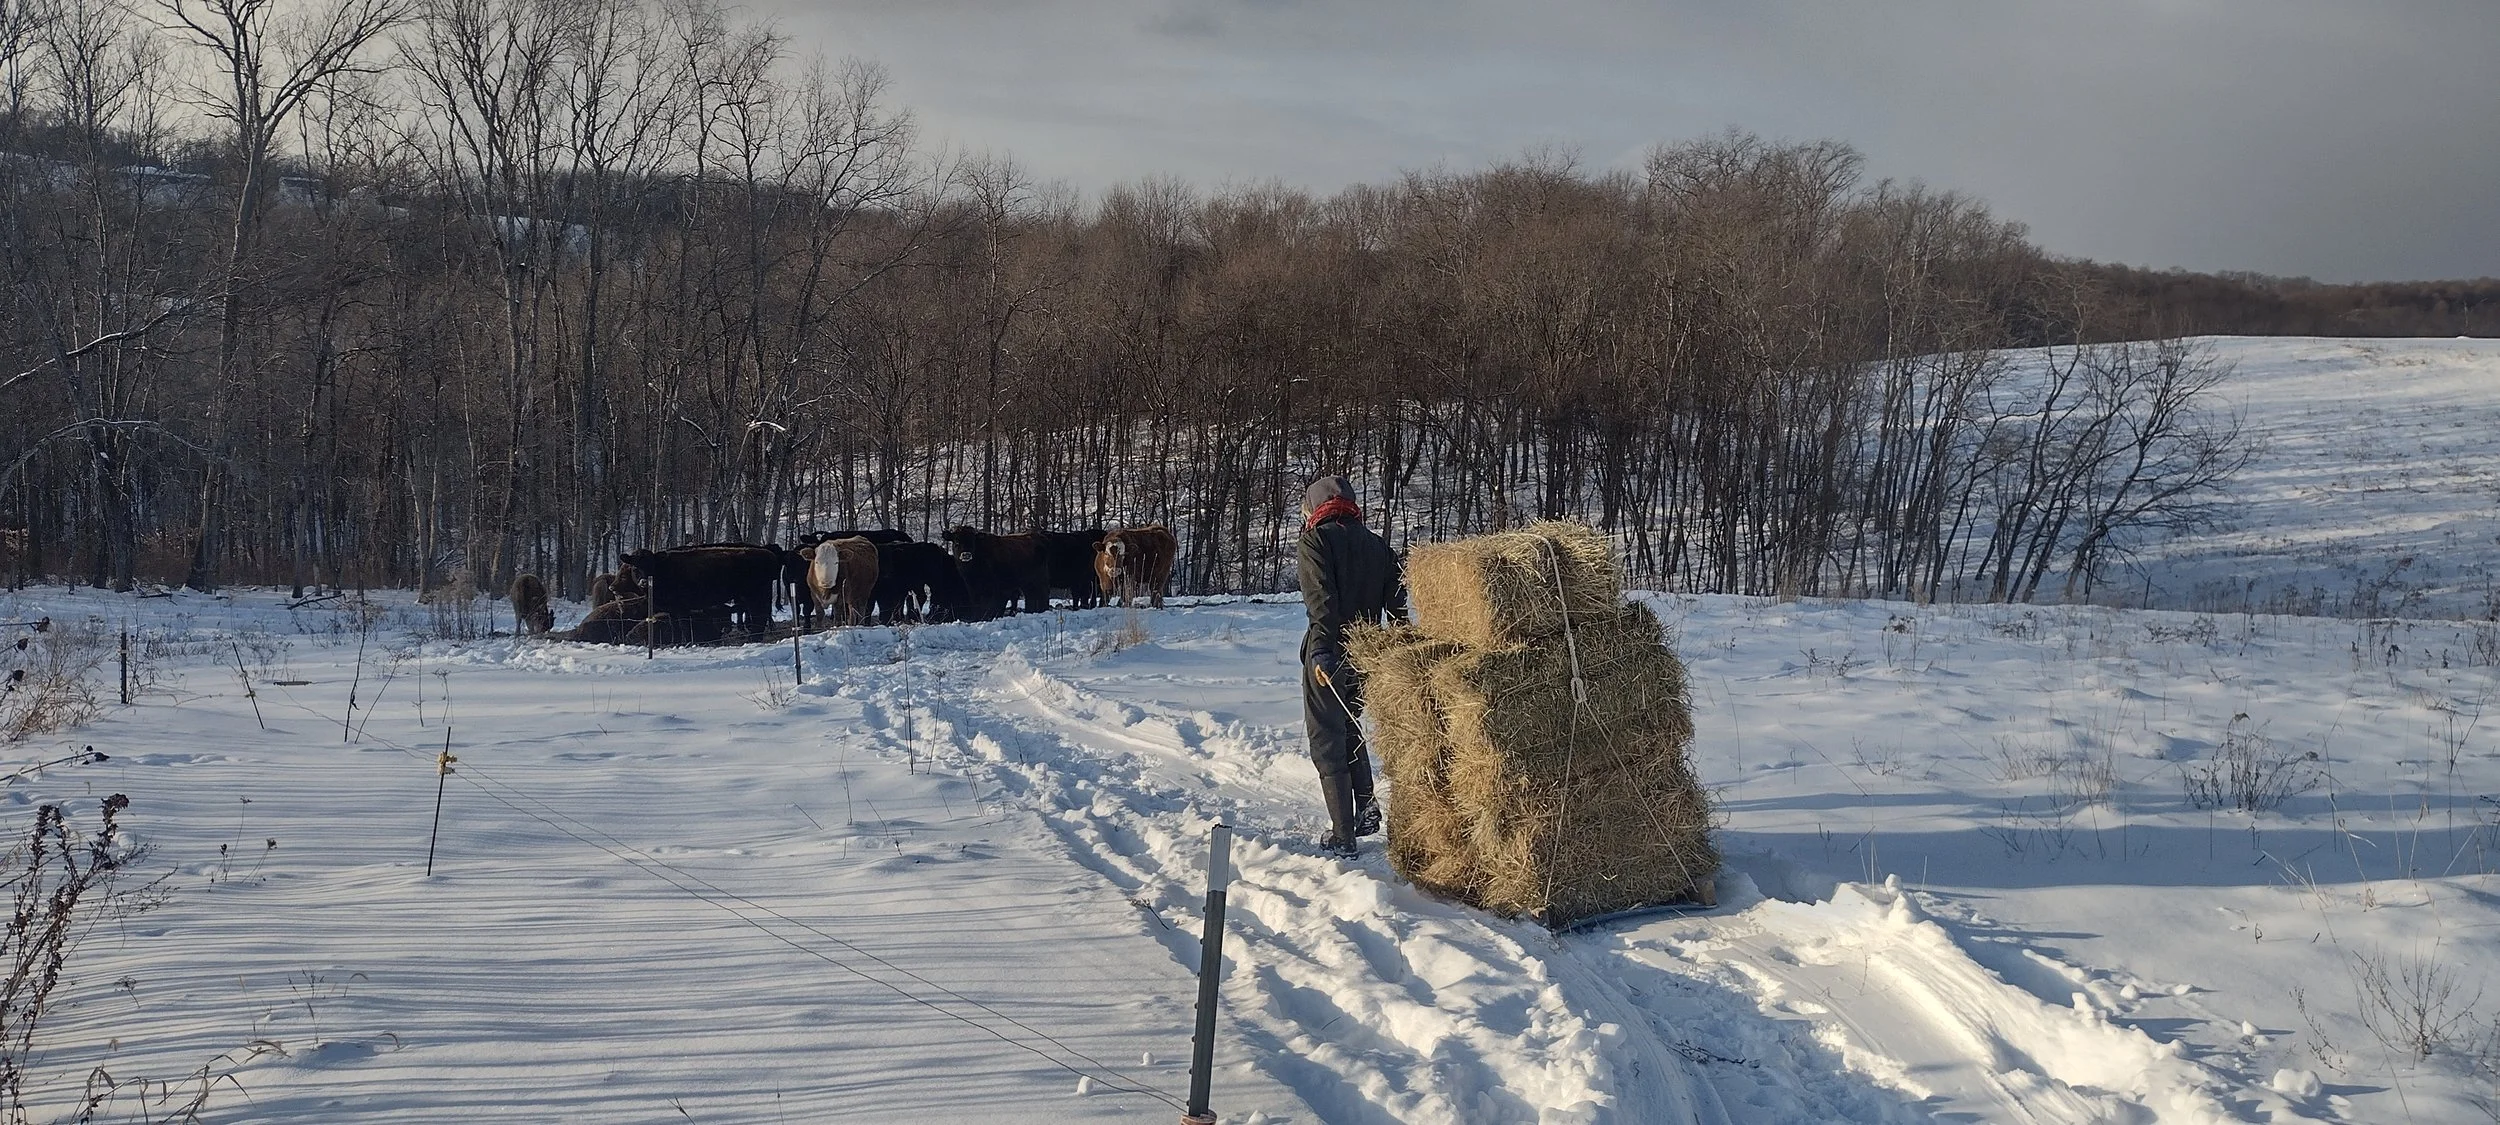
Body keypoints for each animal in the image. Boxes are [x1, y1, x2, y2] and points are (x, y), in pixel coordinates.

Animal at [620, 544, 780, 636]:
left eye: (651, 565)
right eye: (634, 567)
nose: (644, 582)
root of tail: (768, 554)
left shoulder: (682, 608)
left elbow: (684, 627)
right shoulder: (672, 610)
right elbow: (675, 628)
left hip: (756, 596)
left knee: (759, 620)